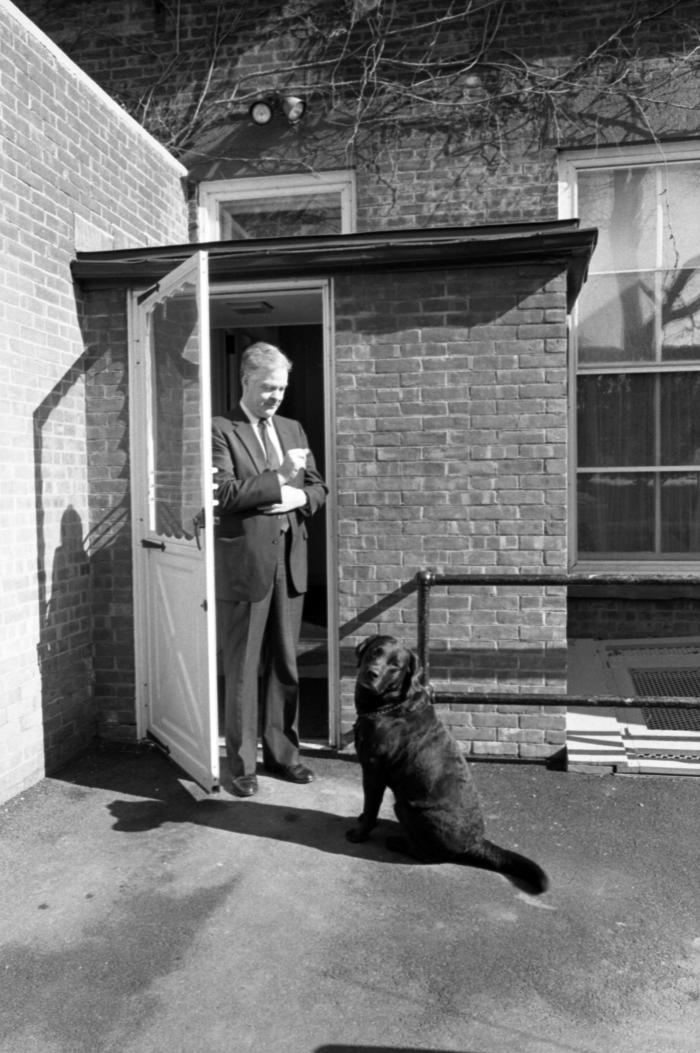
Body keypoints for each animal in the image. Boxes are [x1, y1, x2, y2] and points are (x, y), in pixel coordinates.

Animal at [347, 631, 547, 897]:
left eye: (395, 666)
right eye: (375, 651)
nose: (372, 673)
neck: (388, 707)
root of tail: (475, 843)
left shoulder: (373, 771)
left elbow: (371, 807)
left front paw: (360, 833)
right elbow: (369, 808)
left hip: (406, 808)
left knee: (428, 855)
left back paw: (398, 842)